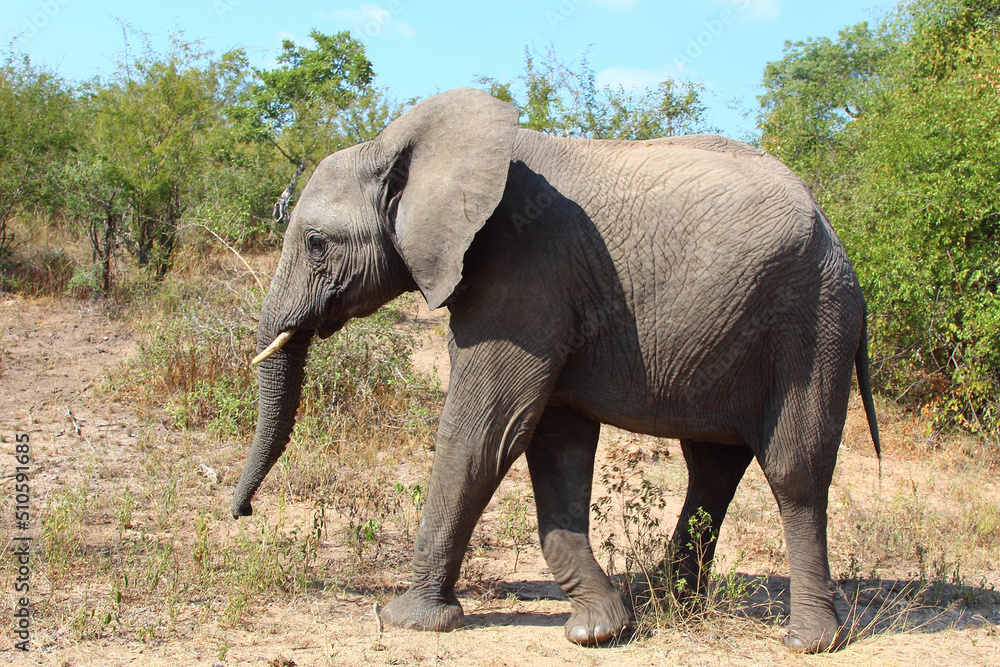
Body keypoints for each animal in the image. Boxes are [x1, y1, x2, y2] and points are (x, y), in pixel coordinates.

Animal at [231, 87, 880, 653]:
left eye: (317, 242)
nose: (242, 513)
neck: (408, 148)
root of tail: (836, 236)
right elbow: (555, 446)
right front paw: (600, 628)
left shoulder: (523, 273)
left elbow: (483, 434)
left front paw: (408, 620)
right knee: (712, 464)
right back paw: (666, 599)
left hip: (810, 321)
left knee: (794, 470)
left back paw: (809, 641)